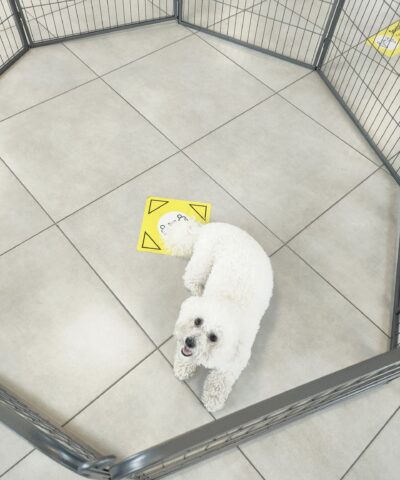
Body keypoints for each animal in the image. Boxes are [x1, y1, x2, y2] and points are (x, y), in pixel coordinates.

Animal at [164, 219, 274, 410]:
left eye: (213, 337)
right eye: (198, 321)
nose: (189, 342)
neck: (228, 304)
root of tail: (210, 226)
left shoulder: (232, 364)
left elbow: (219, 381)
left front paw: (213, 399)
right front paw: (184, 367)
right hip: (203, 261)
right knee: (190, 277)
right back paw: (197, 289)